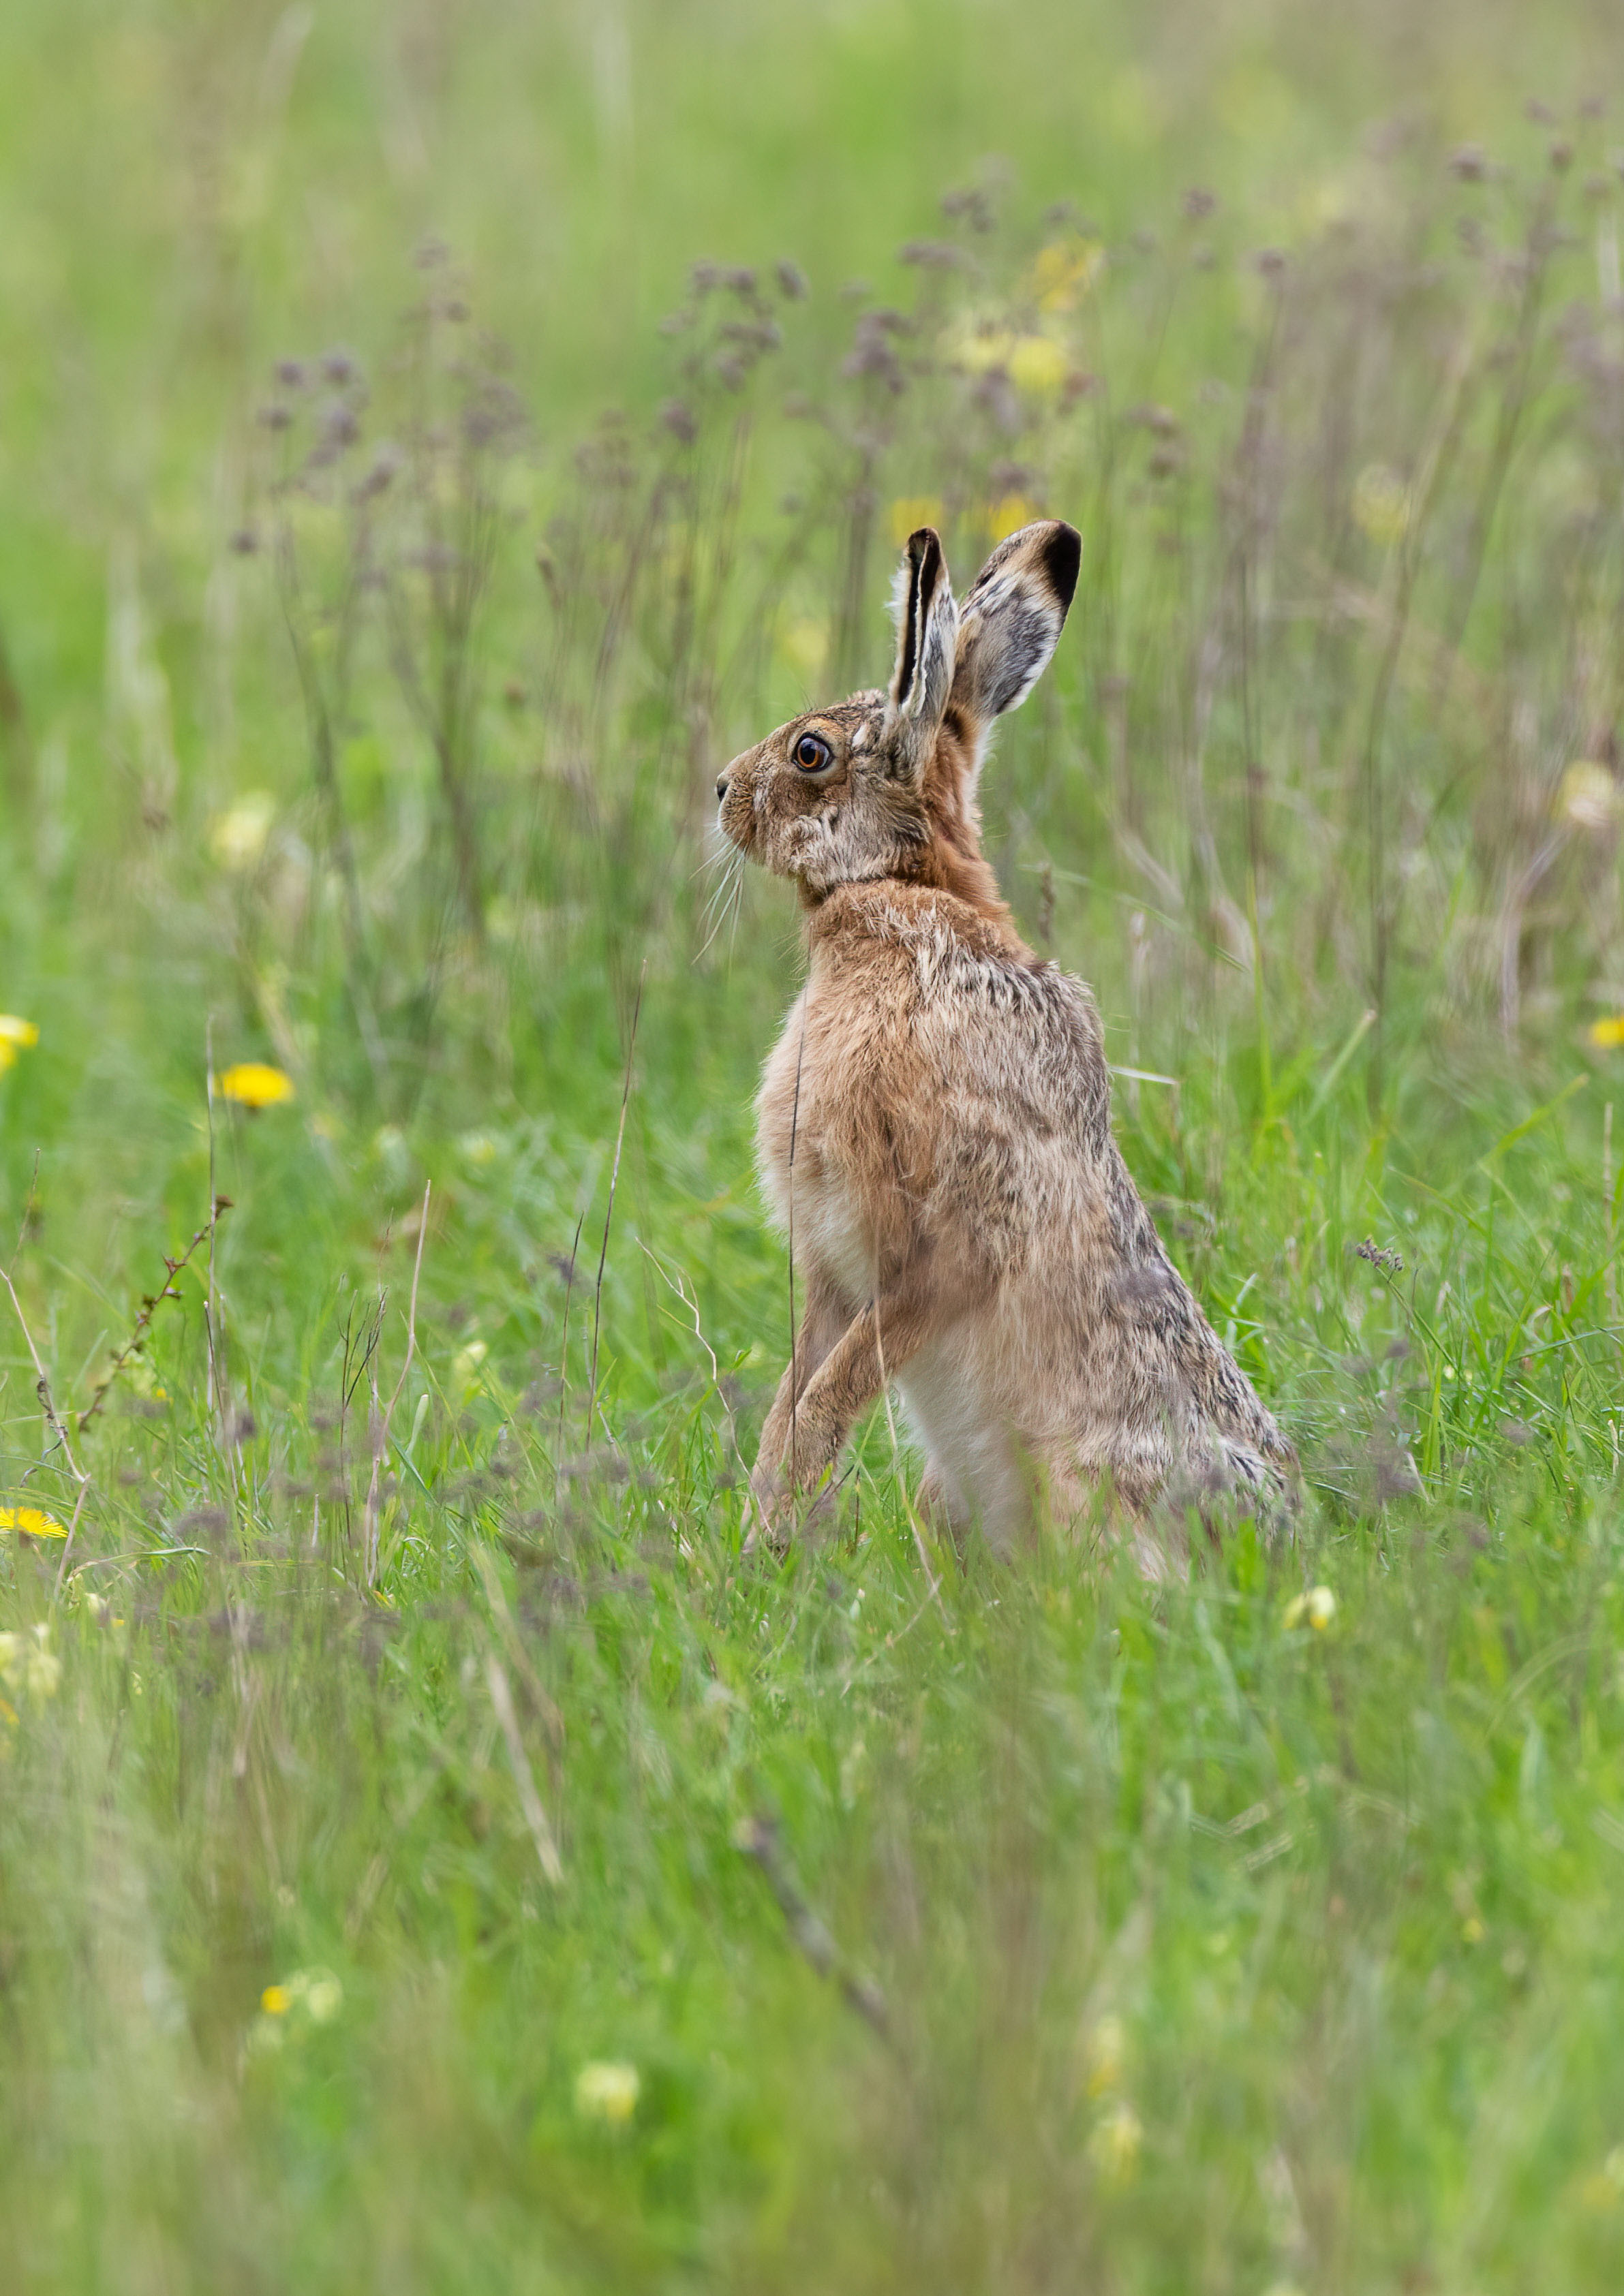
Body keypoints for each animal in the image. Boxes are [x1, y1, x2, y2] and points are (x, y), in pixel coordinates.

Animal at [714, 519, 1295, 1556]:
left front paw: (777, 1528)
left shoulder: (944, 1241)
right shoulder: (829, 1269)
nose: (720, 791)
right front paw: (764, 1527)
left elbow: (833, 1387)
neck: (900, 896)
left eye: (810, 753)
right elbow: (794, 1388)